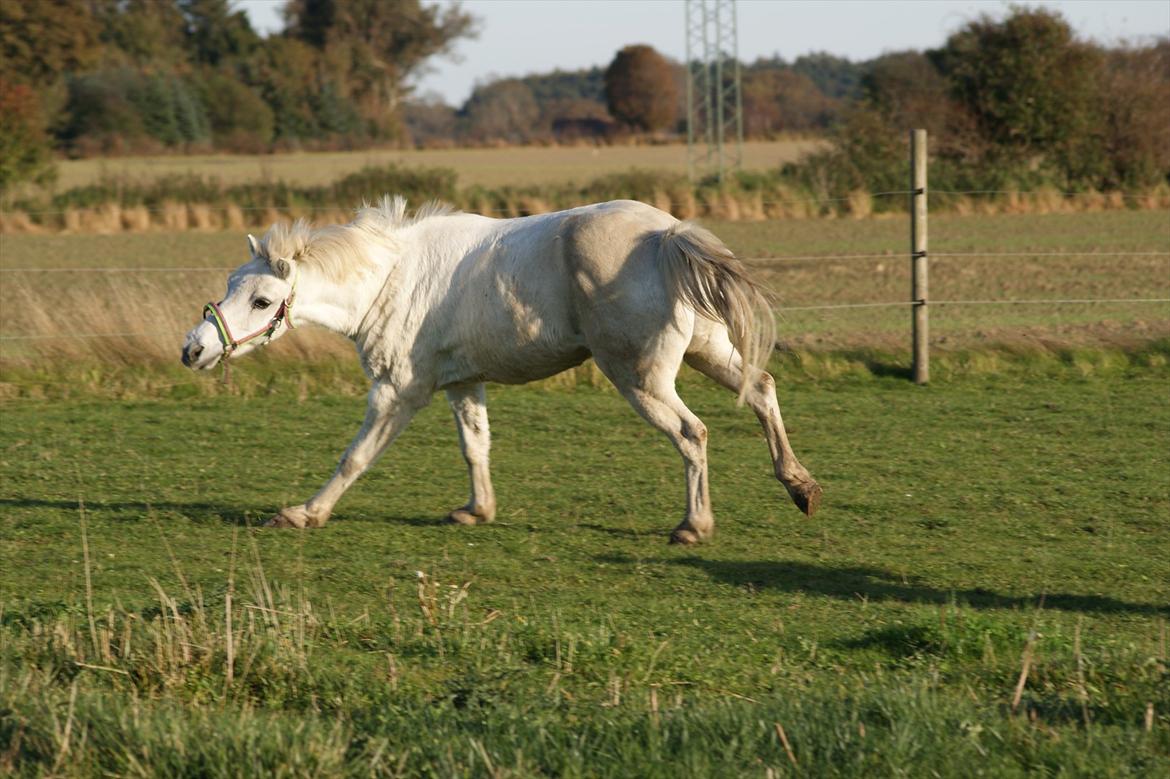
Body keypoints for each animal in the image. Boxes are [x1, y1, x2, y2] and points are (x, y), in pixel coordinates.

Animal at [182, 197, 822, 544]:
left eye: (262, 300)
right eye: (232, 285)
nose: (194, 349)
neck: (391, 280)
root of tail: (666, 235)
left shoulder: (398, 391)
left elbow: (355, 457)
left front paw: (303, 514)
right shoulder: (463, 383)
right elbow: (476, 447)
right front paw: (476, 511)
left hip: (641, 378)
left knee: (693, 434)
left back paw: (695, 525)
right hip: (707, 352)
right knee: (762, 390)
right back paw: (801, 486)